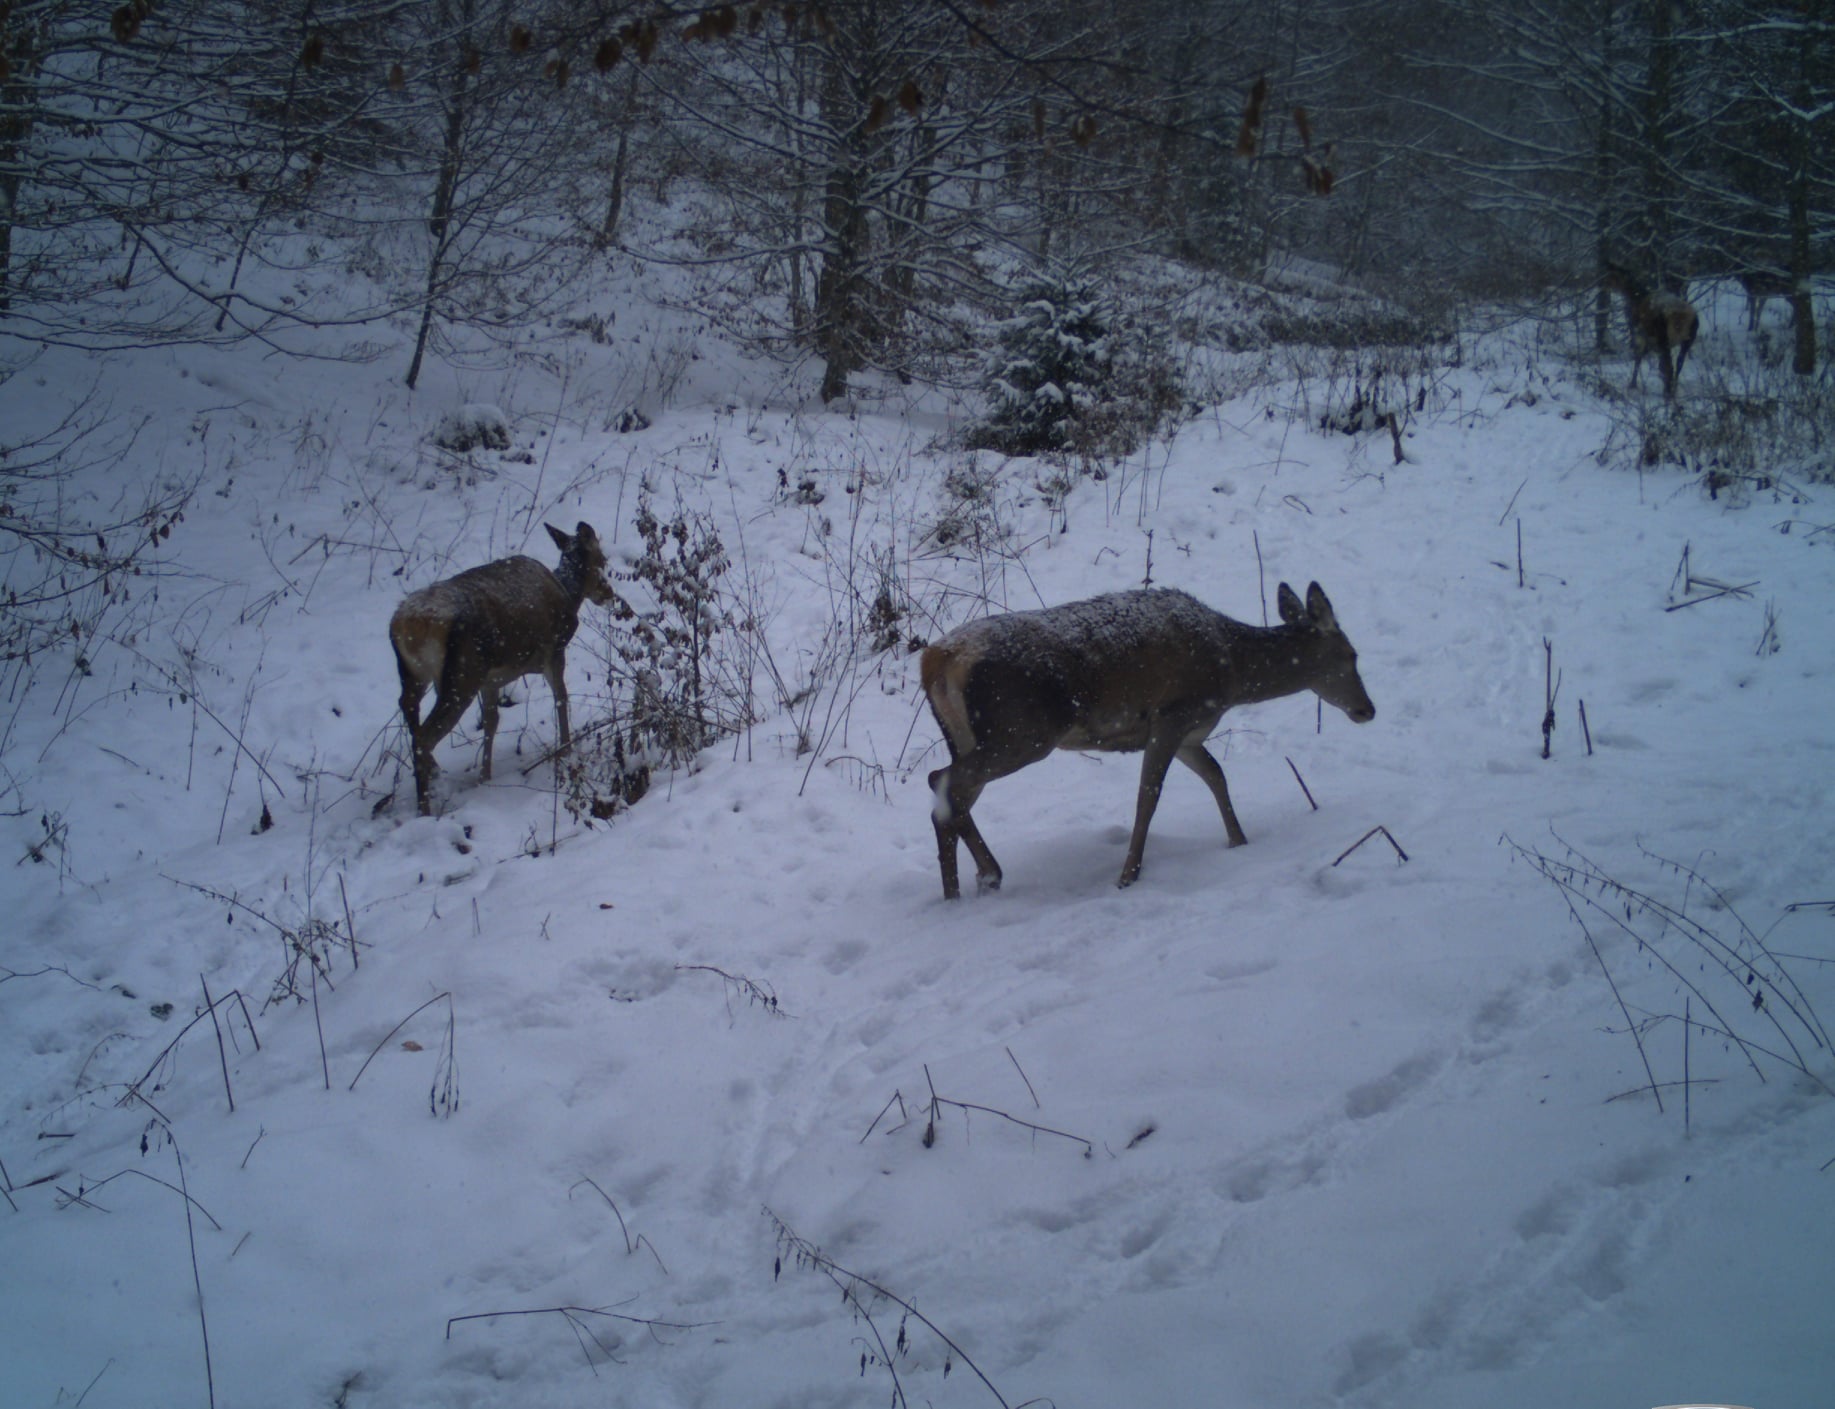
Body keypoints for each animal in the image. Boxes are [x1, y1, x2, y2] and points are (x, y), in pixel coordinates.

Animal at [392, 521, 616, 821]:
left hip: (415, 675)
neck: (568, 593)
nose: (608, 593)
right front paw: (566, 750)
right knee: (424, 737)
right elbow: (561, 699)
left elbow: (491, 721)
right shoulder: (554, 650)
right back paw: (425, 808)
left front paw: (485, 777)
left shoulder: (492, 679)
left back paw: (435, 776)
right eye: (602, 559)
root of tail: (408, 625)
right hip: (461, 677)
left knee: (407, 708)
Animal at [917, 587, 1379, 902]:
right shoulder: (1171, 715)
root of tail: (936, 659)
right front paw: (1128, 876)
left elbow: (1216, 775)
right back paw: (986, 875)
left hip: (975, 738)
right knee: (940, 779)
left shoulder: (1189, 733)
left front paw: (1239, 842)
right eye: (1350, 654)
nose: (1367, 709)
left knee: (950, 798)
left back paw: (962, 890)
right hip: (1022, 734)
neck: (1232, 671)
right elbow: (1149, 798)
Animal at [1600, 260, 1695, 396]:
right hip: (1688, 339)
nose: (1601, 285)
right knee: (1679, 363)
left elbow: (1638, 358)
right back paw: (1673, 388)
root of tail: (1682, 318)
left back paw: (1668, 391)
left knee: (1670, 366)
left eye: (1608, 275)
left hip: (1664, 337)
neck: (1636, 296)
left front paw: (1632, 384)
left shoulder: (1639, 331)